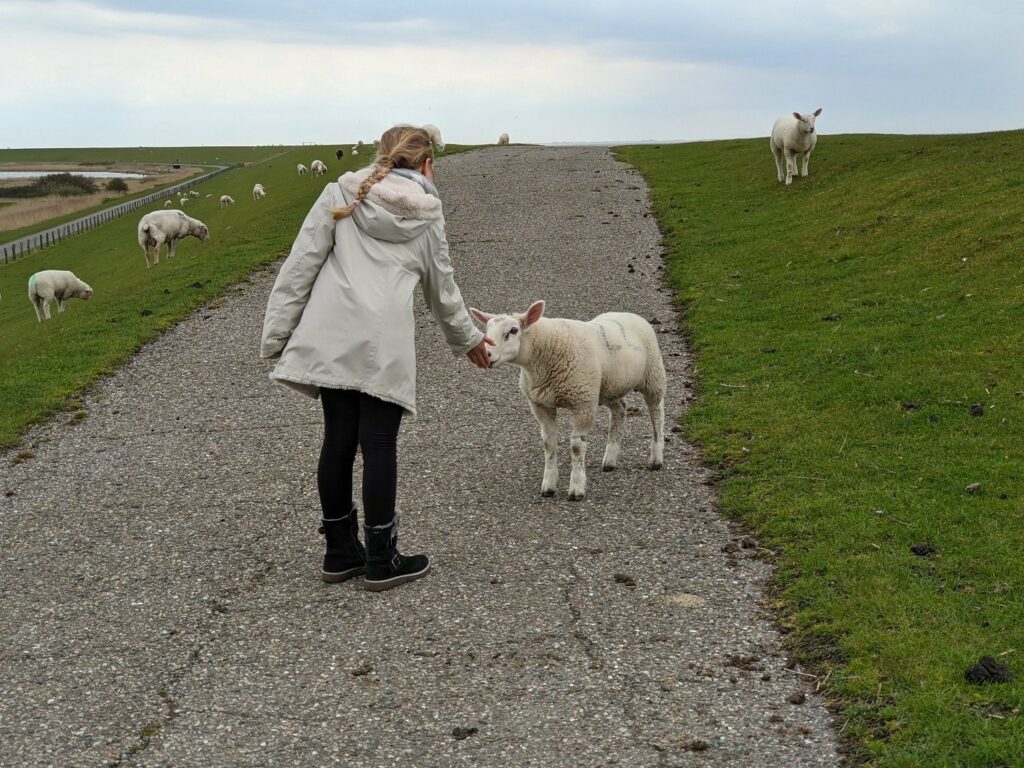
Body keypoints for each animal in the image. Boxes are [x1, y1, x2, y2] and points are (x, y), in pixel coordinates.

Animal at [468, 301, 663, 499]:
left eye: (513, 330)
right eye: (486, 331)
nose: (487, 355)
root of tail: (627, 314)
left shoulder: (583, 404)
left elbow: (576, 446)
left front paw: (576, 488)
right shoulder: (541, 404)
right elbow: (549, 443)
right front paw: (548, 486)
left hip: (653, 376)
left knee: (656, 414)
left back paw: (656, 459)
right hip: (607, 387)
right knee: (619, 409)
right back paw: (610, 460)